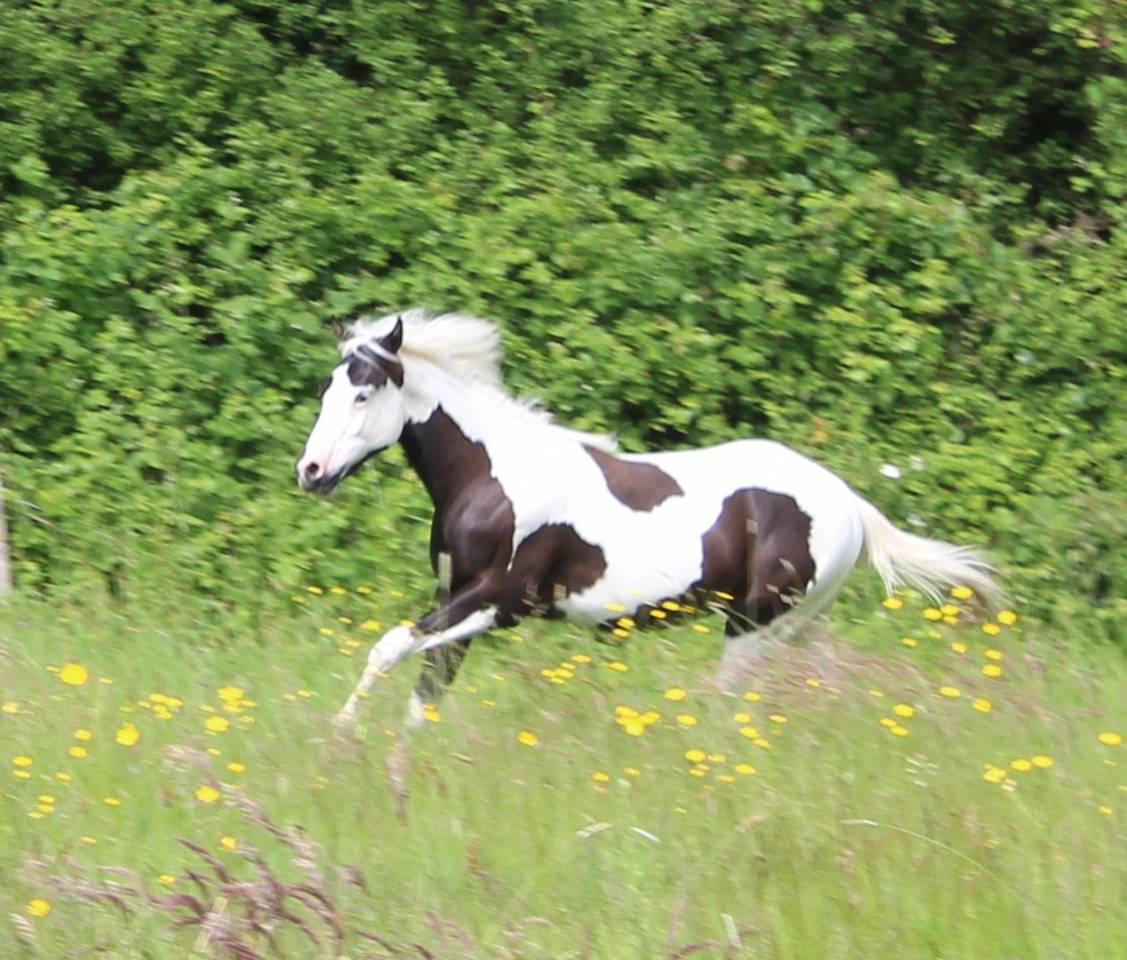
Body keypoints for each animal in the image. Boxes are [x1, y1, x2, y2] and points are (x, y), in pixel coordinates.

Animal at [296, 309, 999, 729]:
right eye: (326, 390)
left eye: (363, 393)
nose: (310, 471)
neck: (496, 478)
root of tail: (847, 500)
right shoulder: (457, 597)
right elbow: (427, 692)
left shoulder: (499, 599)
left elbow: (389, 647)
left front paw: (340, 736)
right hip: (800, 622)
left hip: (757, 623)